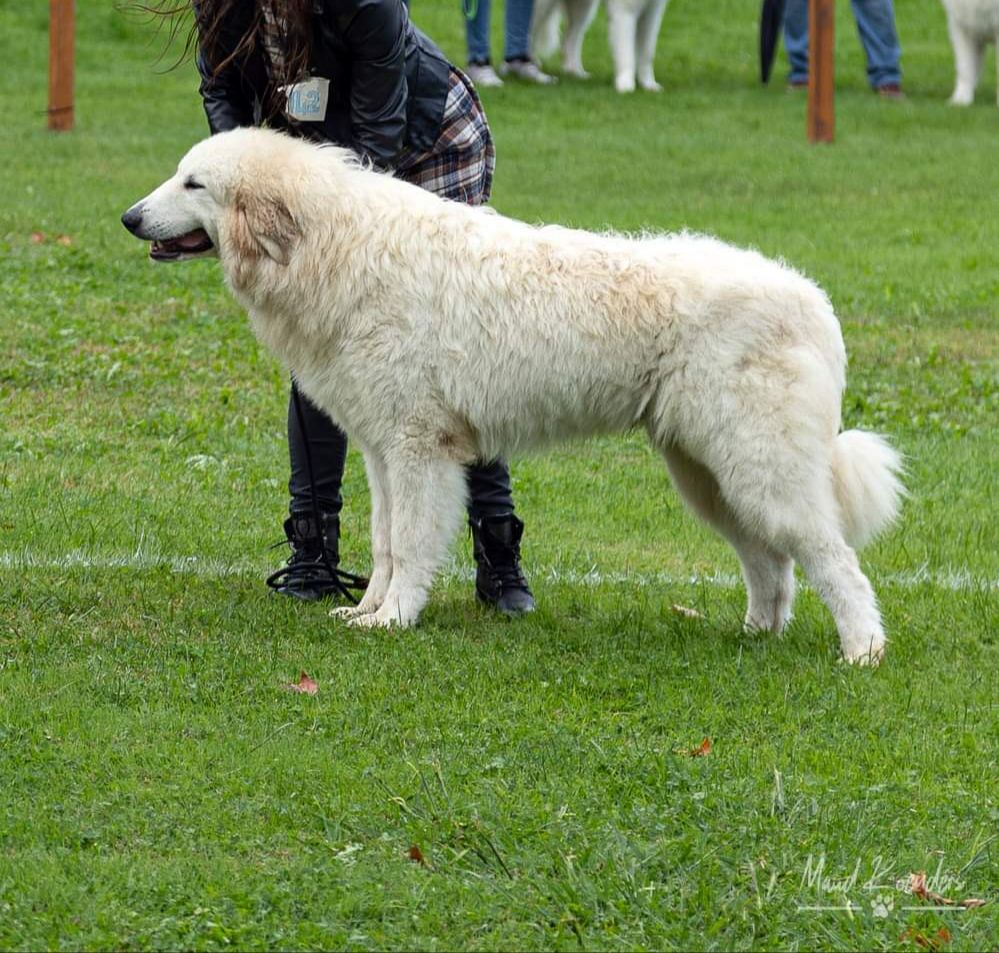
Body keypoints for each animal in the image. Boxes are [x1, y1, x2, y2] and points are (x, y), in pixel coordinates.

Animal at [123, 126, 908, 660]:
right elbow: (382, 541)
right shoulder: (381, 451)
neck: (332, 245)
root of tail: (814, 301)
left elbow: (412, 543)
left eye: (194, 184)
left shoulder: (419, 448)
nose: (130, 218)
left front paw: (394, 620)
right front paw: (366, 611)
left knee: (833, 558)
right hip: (710, 473)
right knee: (770, 560)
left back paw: (862, 650)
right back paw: (756, 634)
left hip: (758, 467)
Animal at [532, 0, 672, 92]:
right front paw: (626, 84)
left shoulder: (652, 13)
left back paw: (576, 72)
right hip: (542, 6)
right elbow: (627, 54)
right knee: (531, 31)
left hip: (583, 8)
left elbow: (647, 54)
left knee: (569, 40)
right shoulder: (625, 11)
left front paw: (649, 84)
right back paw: (533, 62)